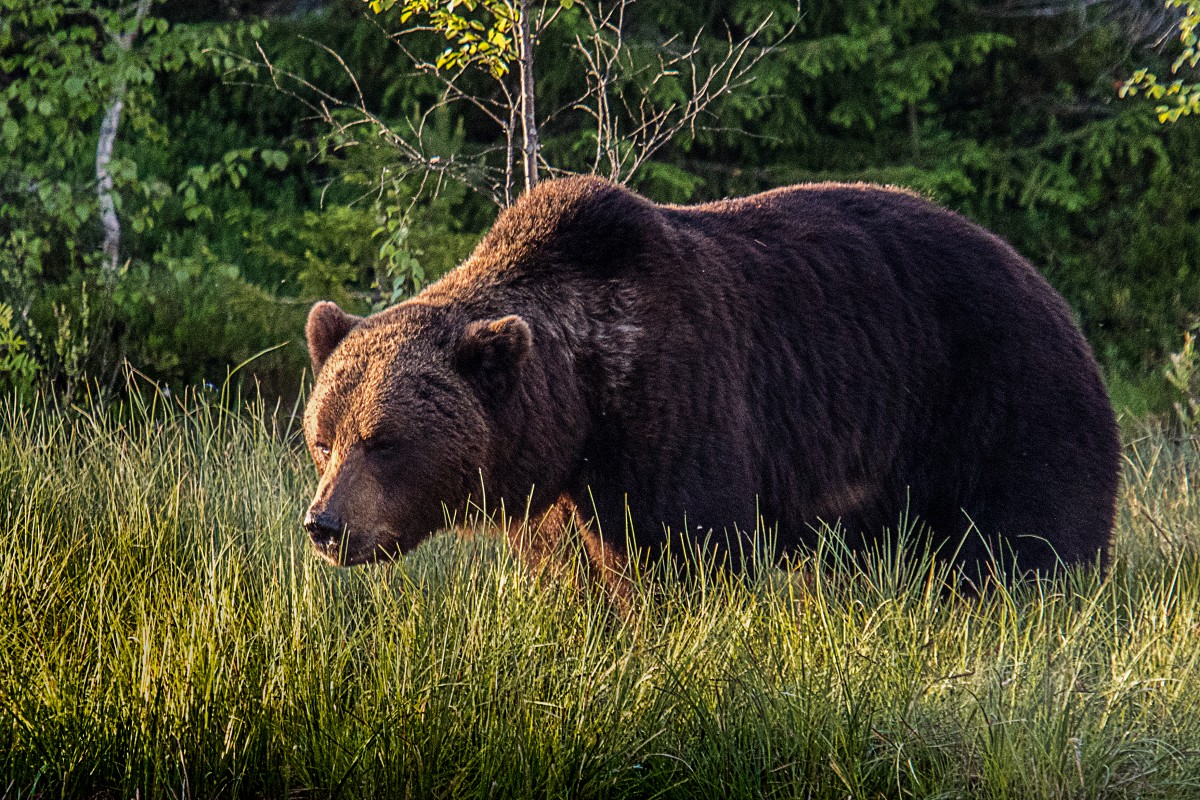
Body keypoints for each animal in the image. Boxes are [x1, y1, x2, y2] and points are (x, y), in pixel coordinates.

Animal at [300, 176, 1123, 582]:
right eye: (323, 438)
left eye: (384, 440)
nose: (324, 525)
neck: (583, 401)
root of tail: (1053, 293)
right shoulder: (564, 492)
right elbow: (571, 577)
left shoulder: (677, 403)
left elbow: (687, 550)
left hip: (1003, 399)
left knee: (1027, 543)